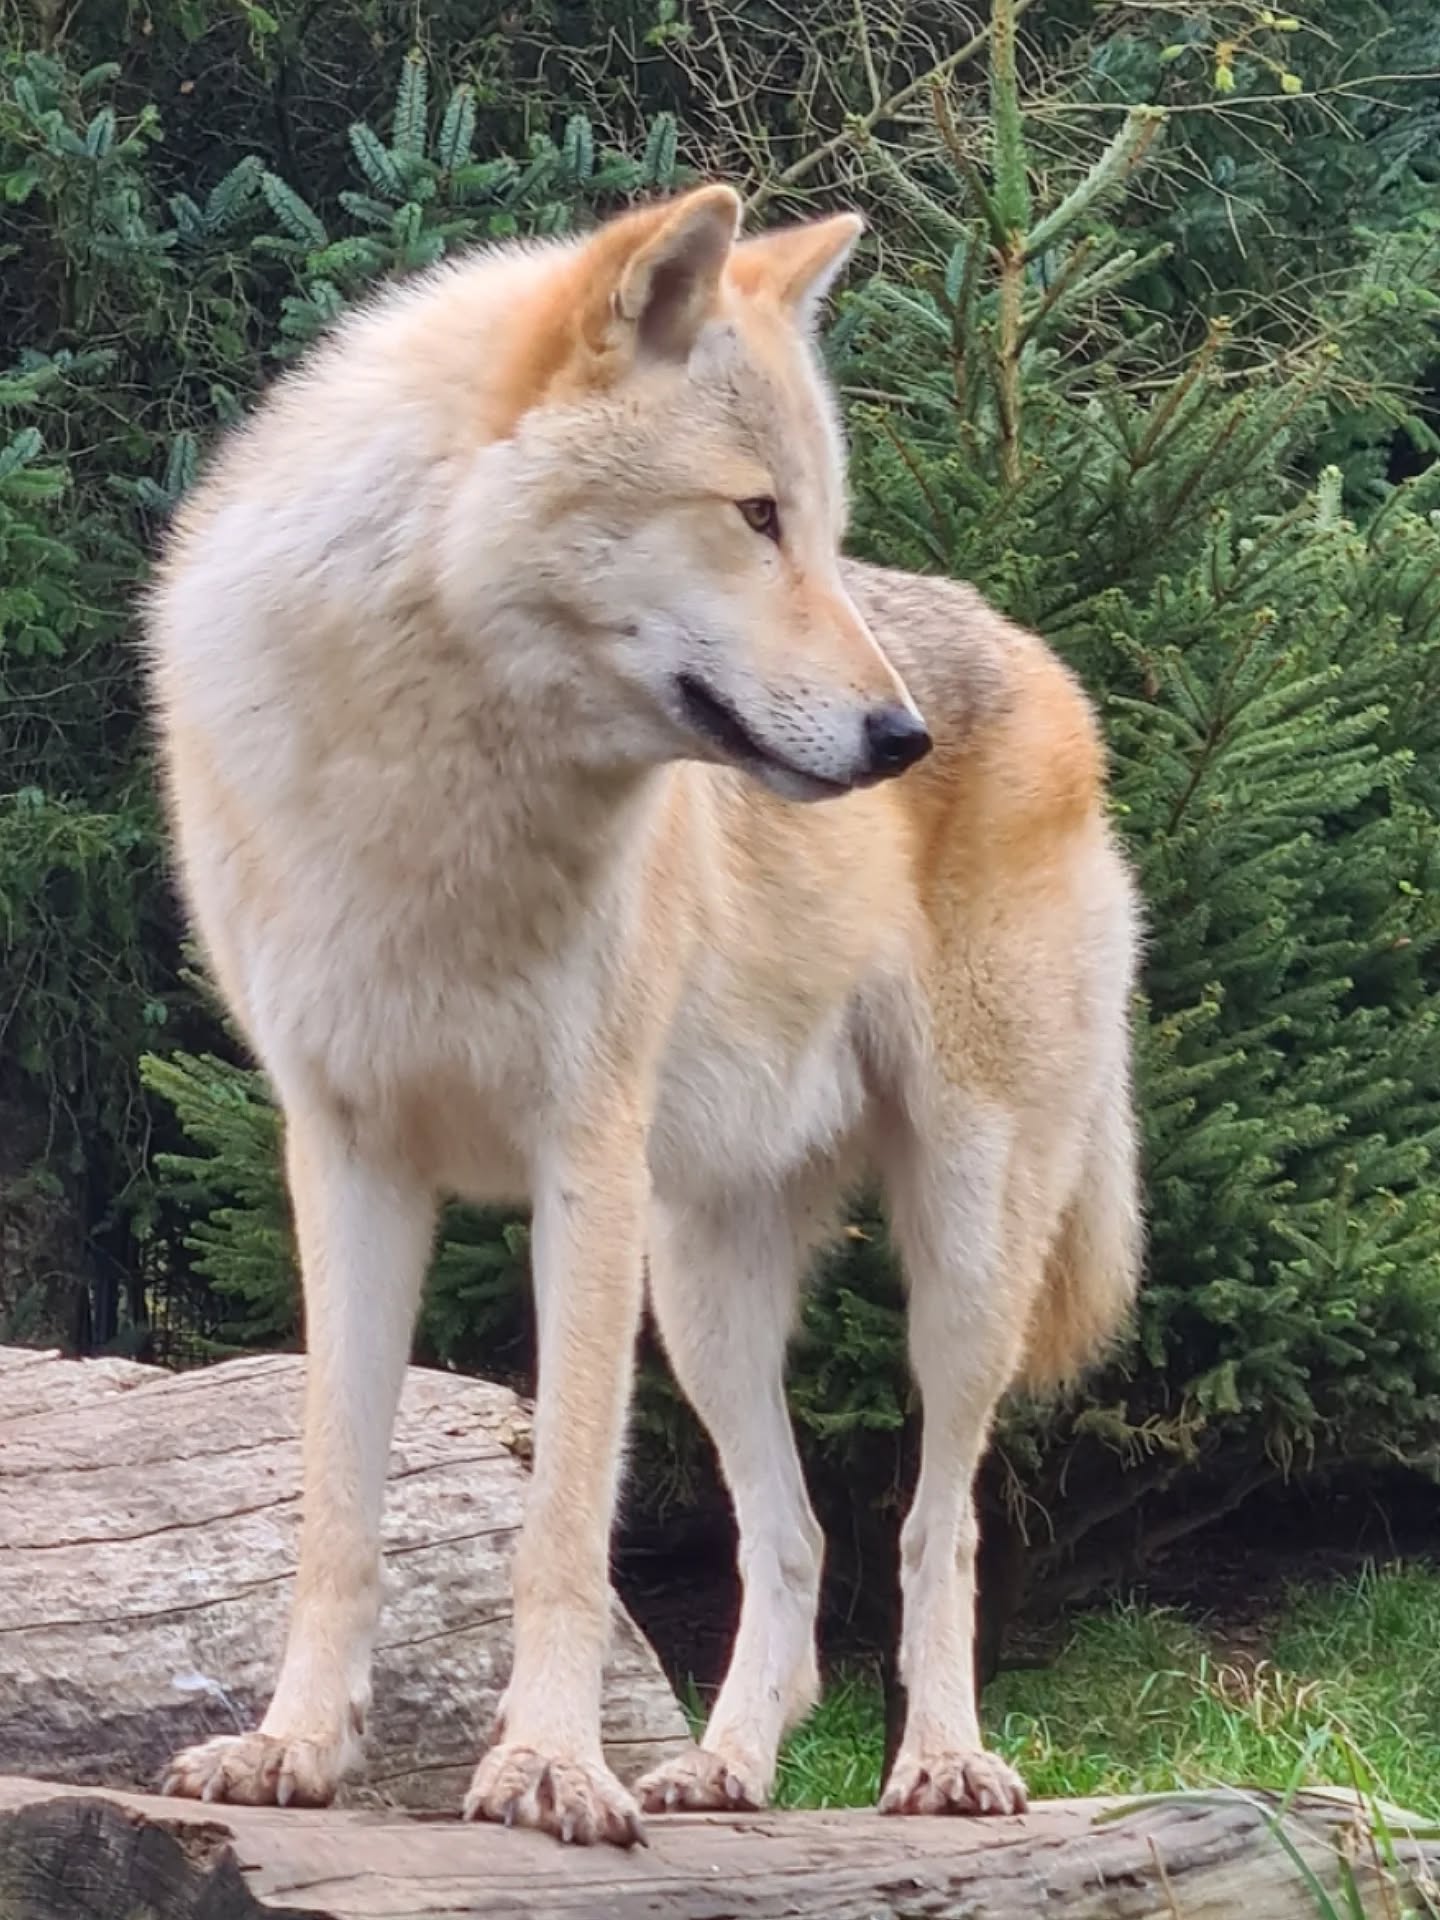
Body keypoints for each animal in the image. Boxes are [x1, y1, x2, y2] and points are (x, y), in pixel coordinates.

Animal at [143, 183, 1142, 1846]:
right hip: (707, 1291)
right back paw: (722, 1774)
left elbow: (563, 1528)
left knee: (937, 1524)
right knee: (793, 1537)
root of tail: (1039, 663)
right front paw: (294, 1753)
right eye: (758, 516)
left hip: (959, 1255)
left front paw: (547, 1769)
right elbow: (336, 1508)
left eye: (825, 526)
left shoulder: (584, 1164)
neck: (436, 787)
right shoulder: (344, 1164)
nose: (901, 739)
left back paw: (943, 1767)